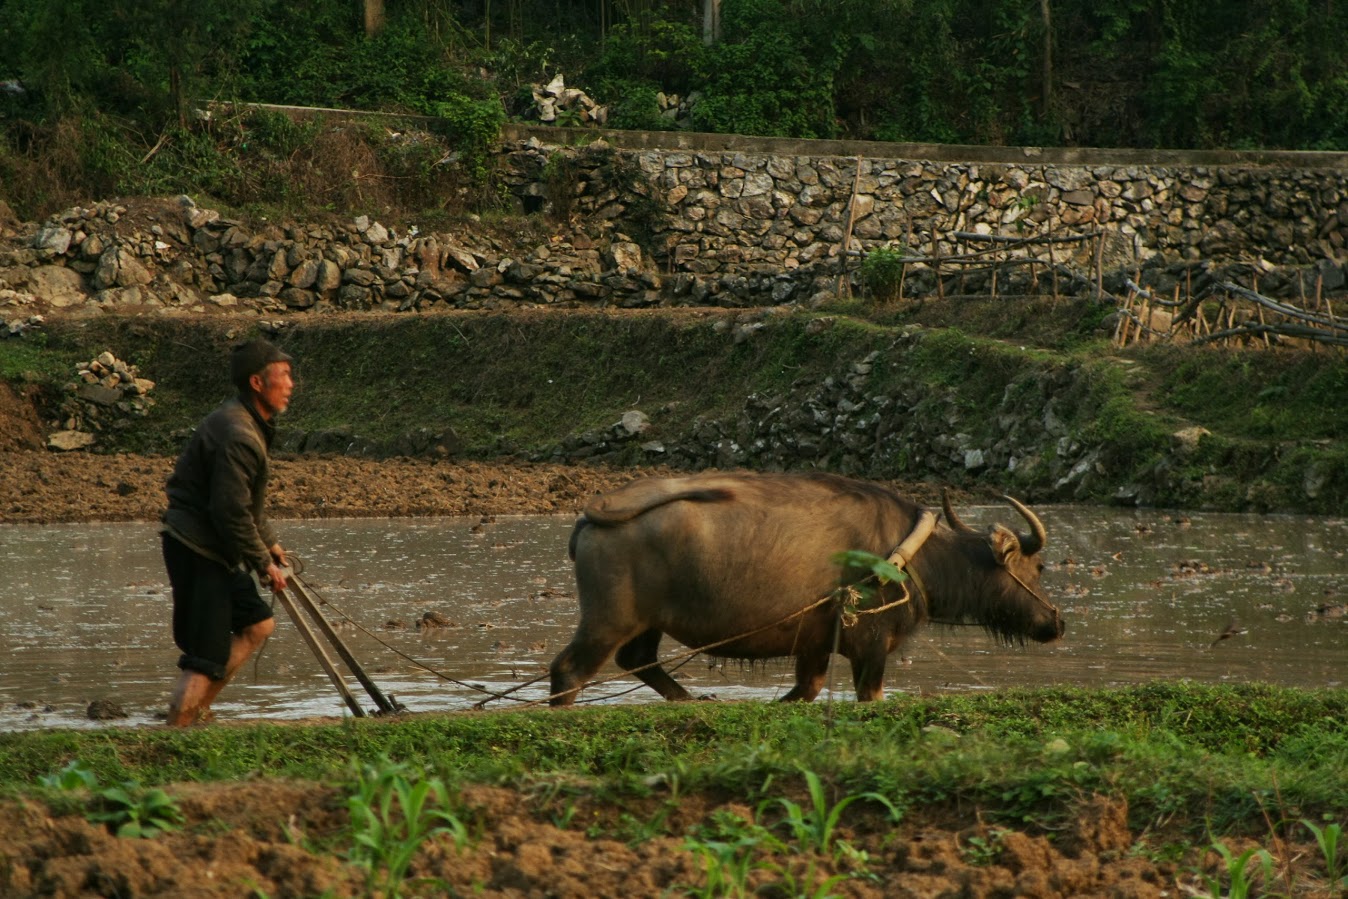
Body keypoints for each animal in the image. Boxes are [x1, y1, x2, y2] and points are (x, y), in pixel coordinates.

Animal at [547, 469, 1062, 706]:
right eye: (1037, 567)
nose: (1056, 622)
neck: (912, 557)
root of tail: (591, 515)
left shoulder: (814, 643)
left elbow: (806, 689)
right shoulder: (871, 645)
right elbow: (869, 696)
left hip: (646, 622)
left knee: (639, 659)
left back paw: (691, 699)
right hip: (608, 620)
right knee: (569, 670)